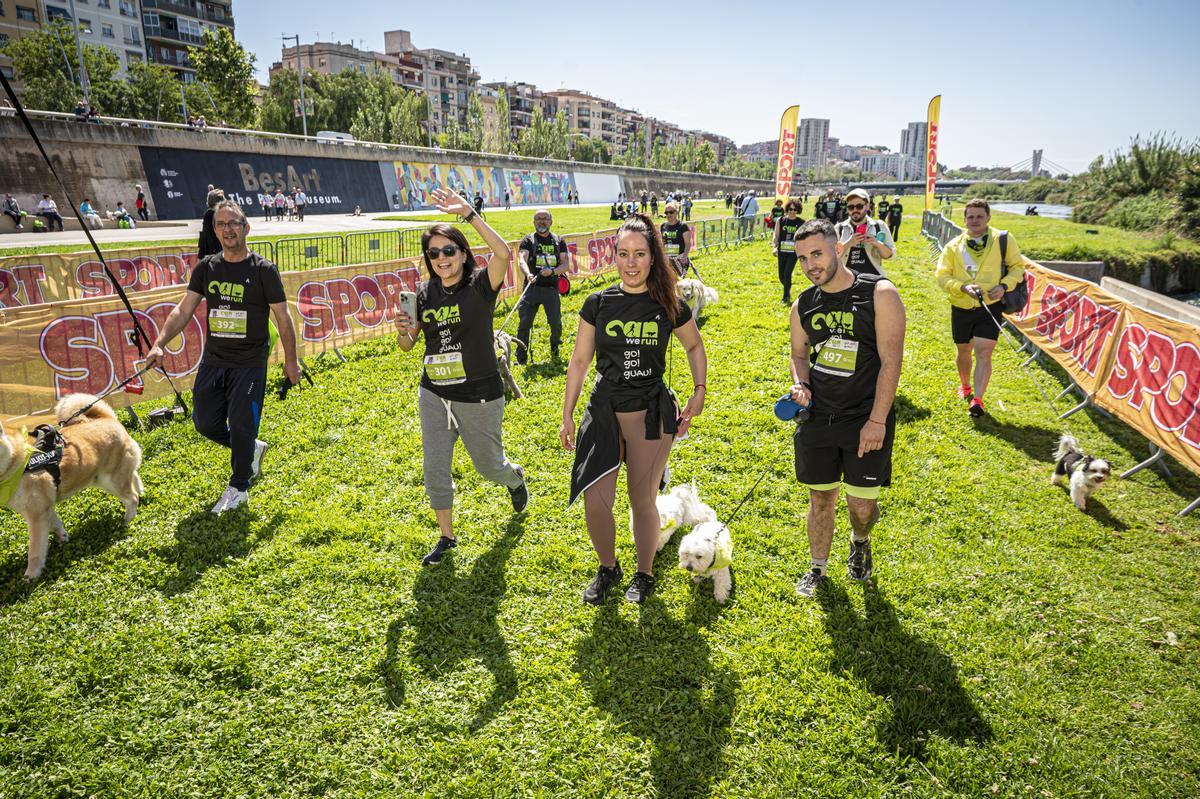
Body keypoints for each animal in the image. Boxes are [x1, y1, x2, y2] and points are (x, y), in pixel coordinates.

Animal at [1, 393, 142, 575]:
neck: (17, 459)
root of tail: (107, 418)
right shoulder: (44, 508)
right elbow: (56, 525)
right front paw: (64, 541)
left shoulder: (36, 515)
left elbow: (35, 550)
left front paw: (31, 575)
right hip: (102, 478)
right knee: (134, 479)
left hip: (111, 480)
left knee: (132, 497)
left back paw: (127, 520)